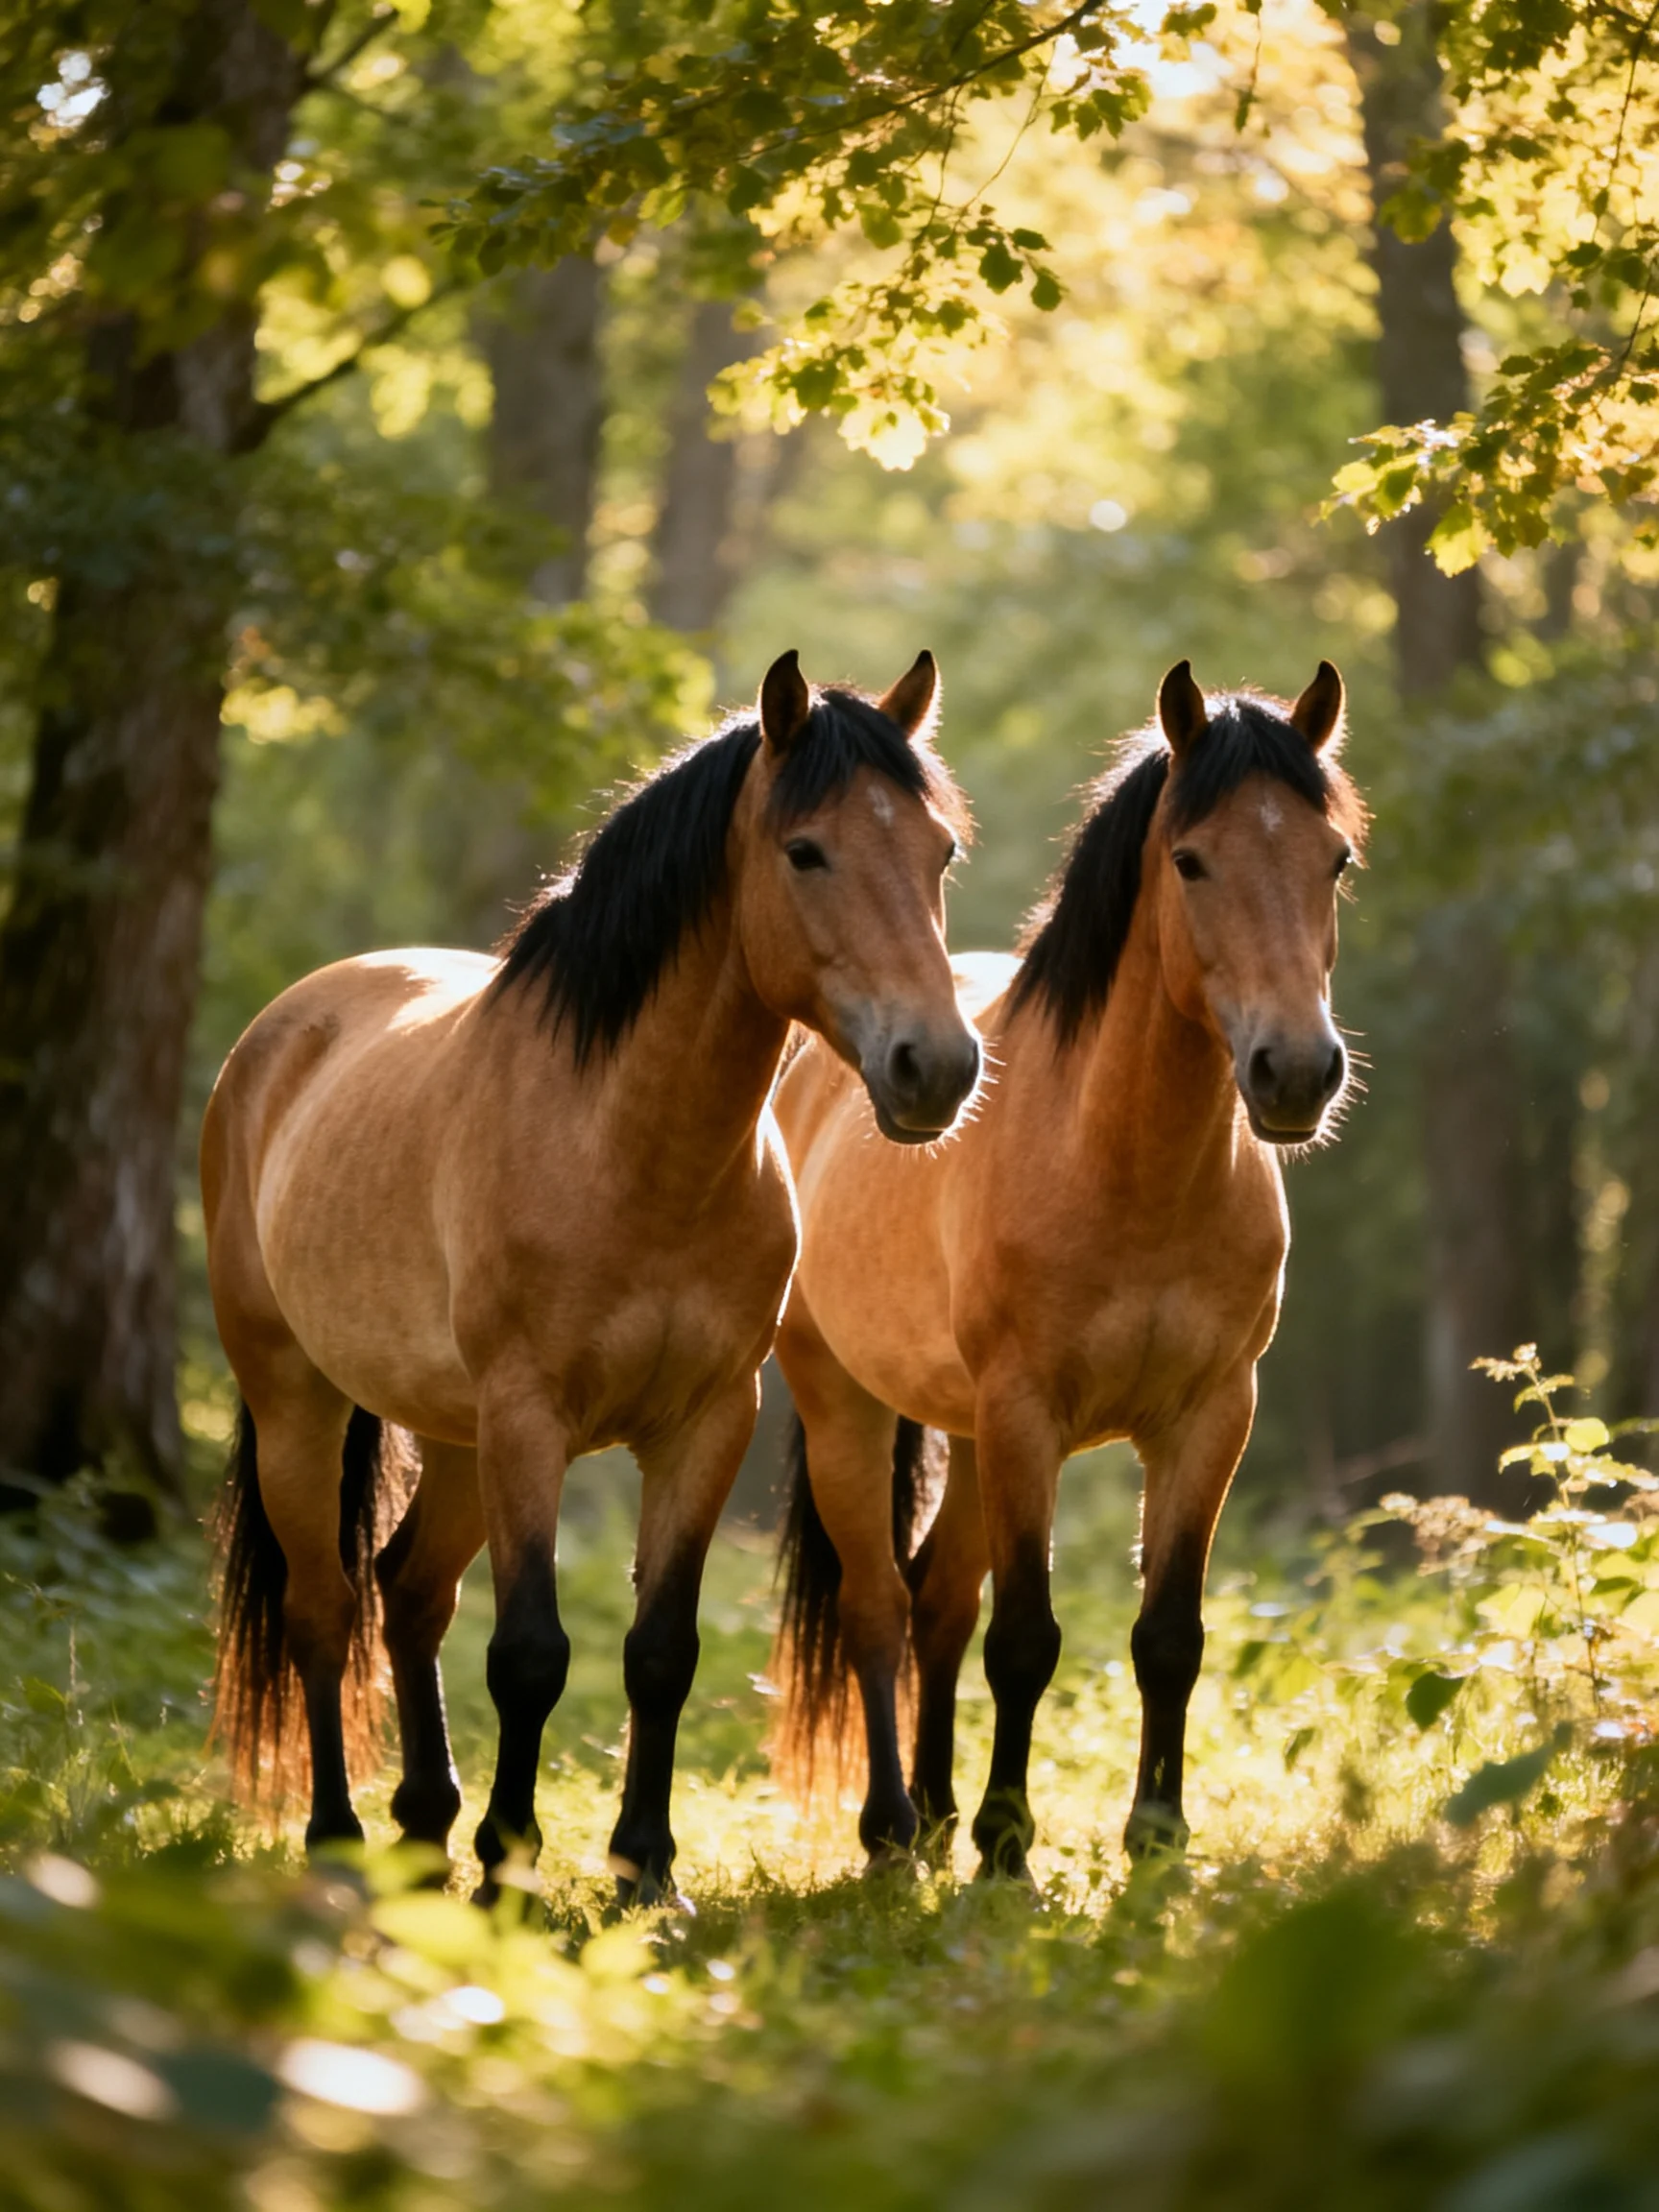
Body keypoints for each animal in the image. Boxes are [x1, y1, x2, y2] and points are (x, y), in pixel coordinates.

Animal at [203, 649, 981, 1904]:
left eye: (938, 851)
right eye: (805, 851)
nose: (937, 1068)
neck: (625, 1147)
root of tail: (279, 1033)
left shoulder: (705, 1423)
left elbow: (660, 1652)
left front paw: (646, 1871)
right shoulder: (531, 1418)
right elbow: (530, 1653)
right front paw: (508, 1872)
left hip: (455, 1435)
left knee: (407, 1592)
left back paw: (424, 1826)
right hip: (298, 1402)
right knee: (324, 1608)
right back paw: (342, 1841)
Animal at [769, 660, 1366, 1877]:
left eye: (1334, 859)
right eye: (1191, 860)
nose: (1295, 1072)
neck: (1125, 1169)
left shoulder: (1208, 1418)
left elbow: (1168, 1636)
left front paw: (1156, 1838)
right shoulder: (1027, 1414)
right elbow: (1027, 1639)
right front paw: (1010, 1849)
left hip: (963, 1434)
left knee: (939, 1600)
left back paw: (937, 1811)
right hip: (852, 1407)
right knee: (879, 1607)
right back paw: (896, 1830)